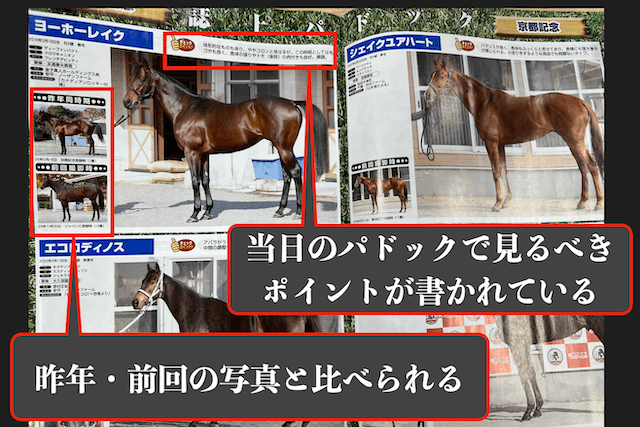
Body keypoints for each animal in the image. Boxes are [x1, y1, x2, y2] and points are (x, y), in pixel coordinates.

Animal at [123, 59, 328, 223]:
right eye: (131, 78)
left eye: (142, 79)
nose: (126, 102)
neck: (186, 108)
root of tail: (292, 102)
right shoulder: (204, 154)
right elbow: (206, 180)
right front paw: (207, 212)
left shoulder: (192, 153)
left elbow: (195, 181)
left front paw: (194, 214)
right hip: (281, 148)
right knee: (286, 176)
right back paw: (279, 210)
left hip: (284, 148)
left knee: (296, 173)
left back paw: (298, 212)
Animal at [425, 58, 604, 212]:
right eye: (431, 74)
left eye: (441, 76)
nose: (427, 95)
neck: (484, 103)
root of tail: (580, 102)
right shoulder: (501, 145)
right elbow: (504, 171)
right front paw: (506, 201)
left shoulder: (491, 143)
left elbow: (495, 172)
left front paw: (497, 203)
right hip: (576, 142)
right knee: (586, 166)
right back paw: (584, 202)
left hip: (574, 141)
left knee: (590, 165)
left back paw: (596, 203)